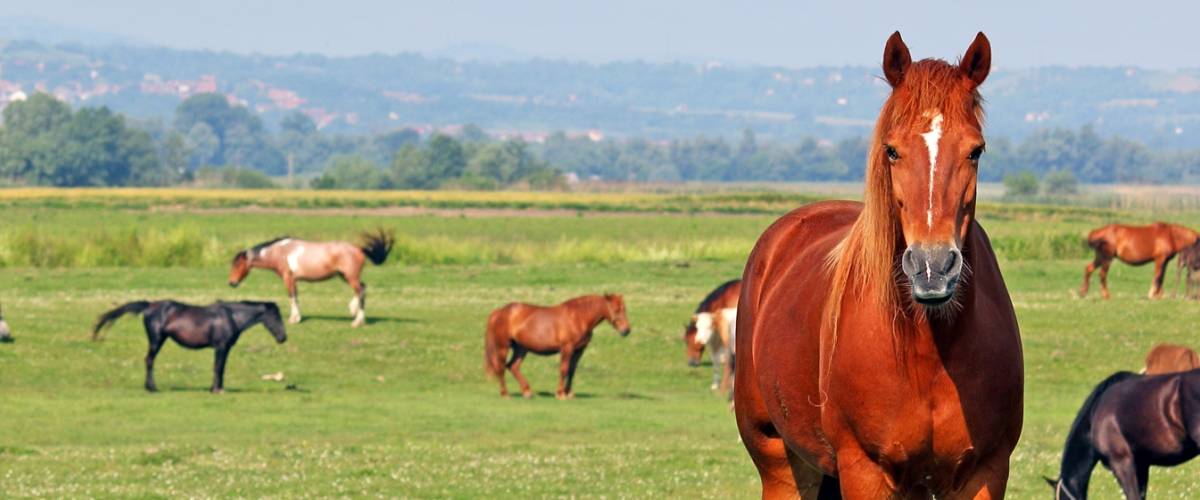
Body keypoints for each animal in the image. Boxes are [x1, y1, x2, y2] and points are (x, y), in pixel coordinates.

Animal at [92, 300, 287, 393]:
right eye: (275, 316)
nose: (282, 338)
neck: (231, 317)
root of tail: (149, 305)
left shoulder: (225, 349)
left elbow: (221, 368)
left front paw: (217, 388)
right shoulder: (220, 347)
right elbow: (217, 367)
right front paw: (216, 390)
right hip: (156, 340)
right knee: (149, 360)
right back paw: (152, 388)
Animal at [228, 230, 394, 328]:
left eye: (237, 265)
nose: (231, 283)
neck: (279, 252)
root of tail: (359, 249)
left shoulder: (288, 278)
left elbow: (292, 297)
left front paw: (294, 319)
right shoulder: (294, 280)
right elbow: (296, 297)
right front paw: (297, 317)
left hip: (350, 277)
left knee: (360, 291)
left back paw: (357, 321)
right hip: (345, 276)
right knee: (363, 289)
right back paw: (355, 313)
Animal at [484, 294, 631, 400]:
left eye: (625, 309)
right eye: (616, 309)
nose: (626, 330)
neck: (578, 317)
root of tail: (500, 312)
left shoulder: (578, 351)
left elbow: (572, 371)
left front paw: (569, 393)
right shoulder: (566, 349)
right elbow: (564, 369)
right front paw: (560, 393)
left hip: (521, 348)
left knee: (513, 366)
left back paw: (527, 392)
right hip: (503, 347)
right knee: (501, 368)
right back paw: (505, 394)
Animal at [735, 32, 1024, 498]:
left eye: (976, 151)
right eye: (892, 150)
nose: (932, 267)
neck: (927, 351)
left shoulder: (985, 472)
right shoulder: (864, 471)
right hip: (779, 461)